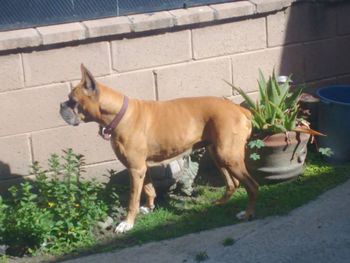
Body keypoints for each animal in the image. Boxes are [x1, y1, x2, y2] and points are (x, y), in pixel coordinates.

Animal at [59, 65, 258, 234]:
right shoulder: (141, 168)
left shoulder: (135, 169)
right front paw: (149, 208)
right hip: (217, 153)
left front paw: (127, 223)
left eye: (72, 101)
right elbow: (149, 189)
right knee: (233, 183)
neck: (119, 114)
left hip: (228, 156)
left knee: (252, 185)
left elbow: (133, 199)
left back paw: (247, 213)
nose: (61, 105)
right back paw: (219, 203)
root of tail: (241, 110)